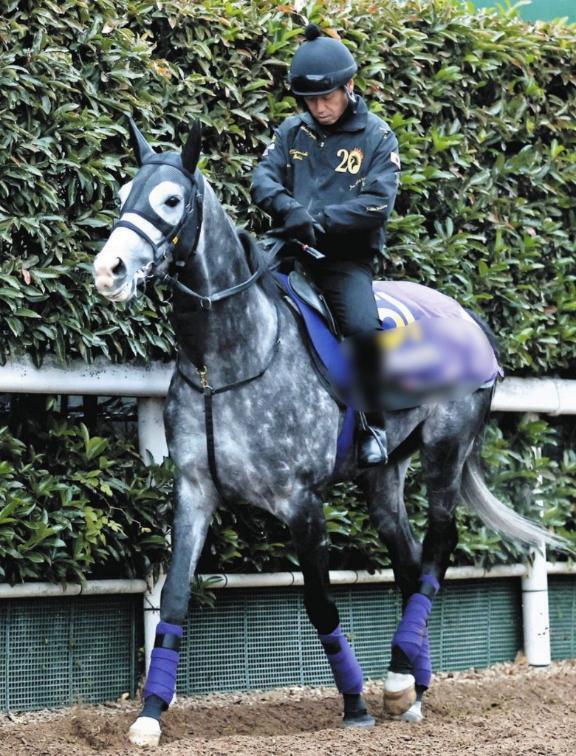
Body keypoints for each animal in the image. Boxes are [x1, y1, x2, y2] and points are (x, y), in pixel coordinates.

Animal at [92, 120, 564, 747]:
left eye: (171, 200)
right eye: (123, 191)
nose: (109, 270)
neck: (228, 361)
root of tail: (471, 321)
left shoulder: (302, 501)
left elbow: (320, 602)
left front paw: (354, 703)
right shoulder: (194, 492)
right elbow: (172, 598)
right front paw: (149, 713)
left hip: (445, 450)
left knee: (439, 546)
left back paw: (397, 679)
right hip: (386, 476)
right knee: (409, 561)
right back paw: (412, 683)